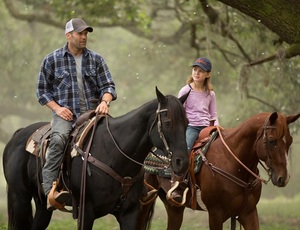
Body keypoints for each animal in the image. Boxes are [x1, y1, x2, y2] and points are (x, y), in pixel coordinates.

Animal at [2, 87, 189, 229]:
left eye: (187, 123)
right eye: (167, 123)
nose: (182, 162)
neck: (114, 155)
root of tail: (18, 134)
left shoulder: (130, 213)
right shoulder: (86, 212)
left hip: (42, 206)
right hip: (20, 198)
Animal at [139, 111, 300, 228]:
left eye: (290, 141)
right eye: (272, 141)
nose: (283, 178)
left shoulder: (248, 212)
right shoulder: (216, 213)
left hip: (175, 208)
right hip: (146, 200)